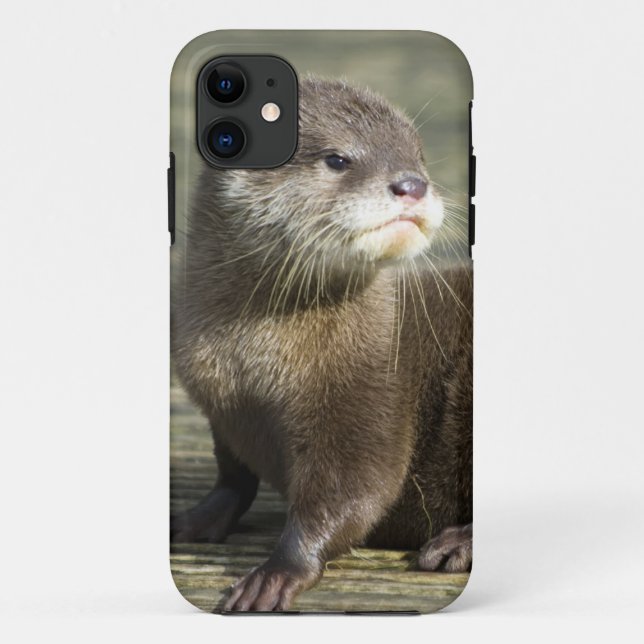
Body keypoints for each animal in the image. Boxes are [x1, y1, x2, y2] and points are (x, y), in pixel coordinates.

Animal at [171, 76, 472, 612]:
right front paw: (195, 518)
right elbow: (233, 478)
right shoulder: (220, 410)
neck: (251, 367)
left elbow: (356, 491)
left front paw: (276, 573)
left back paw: (455, 544)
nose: (413, 185)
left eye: (418, 157)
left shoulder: (369, 397)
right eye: (338, 158)